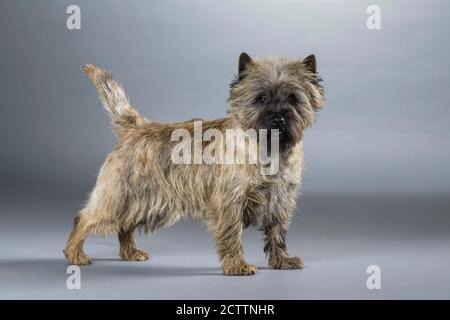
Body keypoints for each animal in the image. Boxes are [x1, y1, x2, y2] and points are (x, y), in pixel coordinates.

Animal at [64, 52, 324, 276]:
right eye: (260, 98)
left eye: (293, 98)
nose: (278, 118)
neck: (269, 149)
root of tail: (135, 128)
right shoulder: (229, 202)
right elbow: (232, 234)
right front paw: (237, 266)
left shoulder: (280, 201)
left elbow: (277, 233)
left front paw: (282, 261)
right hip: (119, 195)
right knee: (85, 218)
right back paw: (75, 253)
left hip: (143, 199)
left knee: (125, 223)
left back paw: (129, 253)